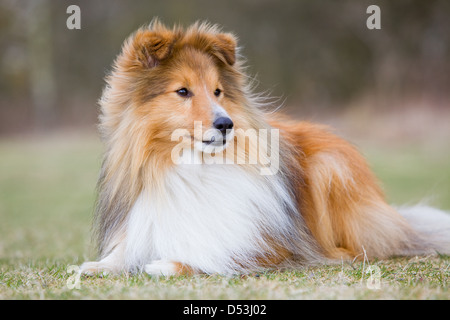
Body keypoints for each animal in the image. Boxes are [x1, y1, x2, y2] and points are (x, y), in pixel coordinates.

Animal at [81, 21, 450, 278]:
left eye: (217, 91)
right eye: (183, 91)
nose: (226, 124)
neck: (193, 168)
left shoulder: (269, 245)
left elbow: (219, 253)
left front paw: (170, 264)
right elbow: (124, 250)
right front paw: (96, 266)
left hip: (329, 169)